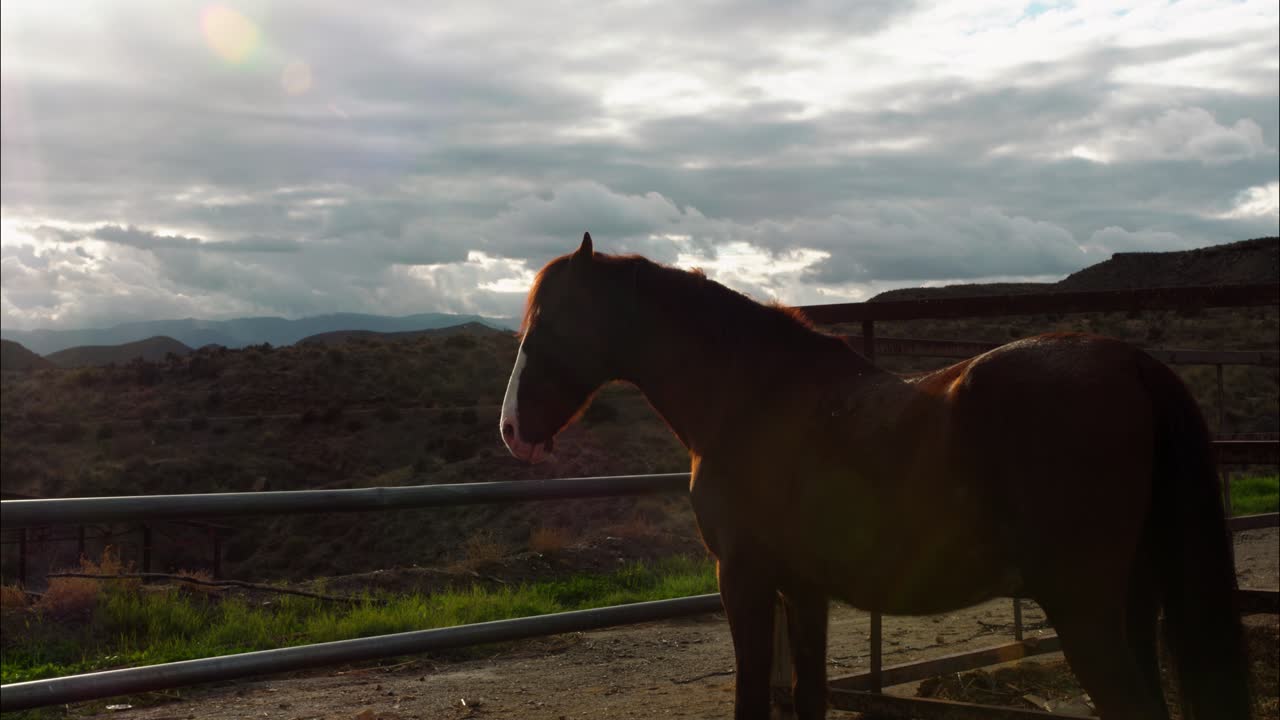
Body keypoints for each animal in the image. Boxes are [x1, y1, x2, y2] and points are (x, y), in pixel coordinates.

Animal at [499, 233, 1249, 720]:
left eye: (553, 319)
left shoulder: (744, 578)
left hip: (1084, 608)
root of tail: (1132, 363)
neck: (752, 397)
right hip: (1134, 603)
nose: (511, 430)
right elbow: (806, 696)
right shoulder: (803, 589)